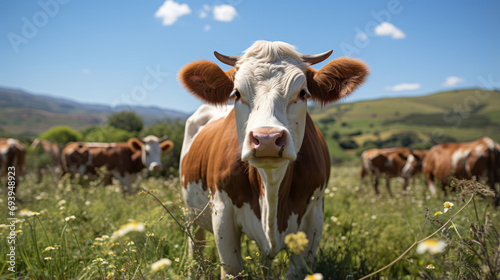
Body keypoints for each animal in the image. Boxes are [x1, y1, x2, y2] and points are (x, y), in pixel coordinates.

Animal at [178, 40, 370, 278]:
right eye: (237, 94)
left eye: (303, 93)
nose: (267, 139)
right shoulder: (222, 212)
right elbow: (232, 268)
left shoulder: (314, 218)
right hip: (191, 214)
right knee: (195, 248)